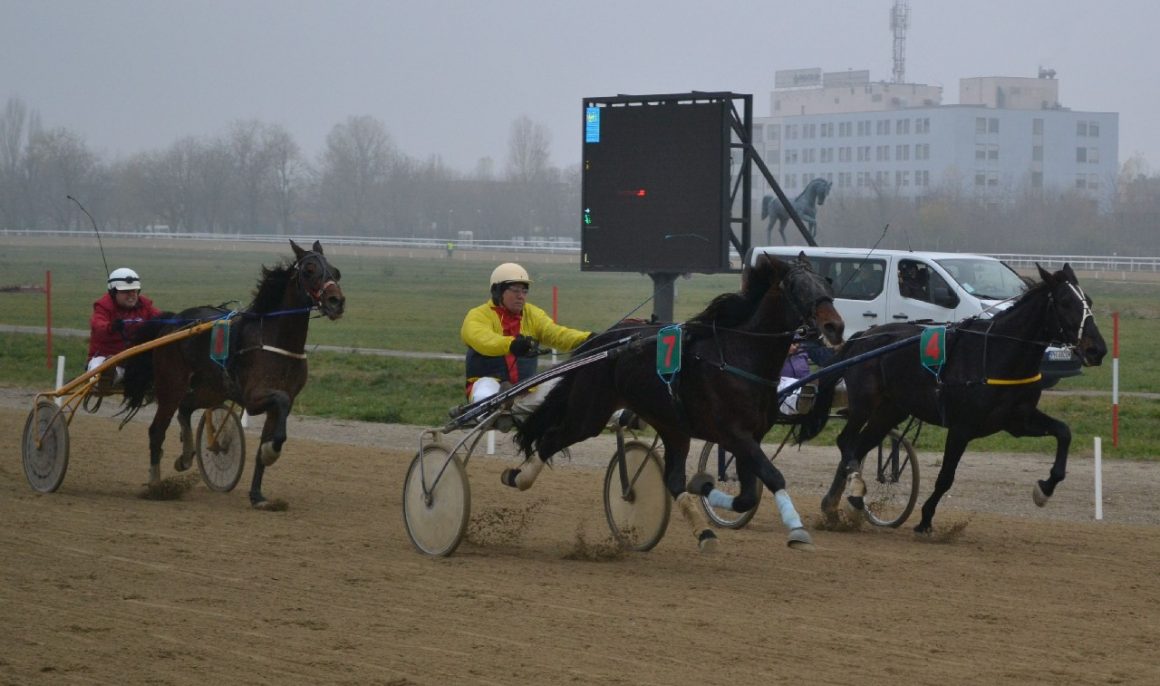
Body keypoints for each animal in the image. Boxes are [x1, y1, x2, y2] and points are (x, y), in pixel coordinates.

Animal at [126, 239, 345, 508]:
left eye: (335, 272)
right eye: (309, 270)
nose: (336, 302)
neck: (278, 340)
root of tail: (173, 321)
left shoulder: (283, 400)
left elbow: (273, 432)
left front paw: (258, 495)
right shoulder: (254, 398)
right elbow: (278, 407)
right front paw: (270, 453)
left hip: (211, 389)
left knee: (186, 407)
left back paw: (186, 457)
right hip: (171, 384)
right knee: (157, 430)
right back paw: (156, 485)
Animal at [515, 255, 844, 550]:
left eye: (826, 282)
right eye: (797, 287)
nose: (836, 327)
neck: (739, 357)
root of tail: (603, 340)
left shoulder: (751, 436)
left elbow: (747, 495)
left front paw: (705, 486)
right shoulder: (733, 433)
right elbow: (773, 476)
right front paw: (797, 530)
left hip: (672, 426)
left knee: (673, 480)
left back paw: (705, 534)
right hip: (590, 412)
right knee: (550, 439)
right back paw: (519, 478)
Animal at [798, 265, 1104, 533]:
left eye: (1088, 301)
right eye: (1065, 302)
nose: (1098, 349)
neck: (996, 354)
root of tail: (864, 336)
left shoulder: (1018, 420)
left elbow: (1063, 432)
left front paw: (1044, 489)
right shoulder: (961, 427)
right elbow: (946, 477)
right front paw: (924, 520)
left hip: (890, 411)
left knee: (859, 447)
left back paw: (840, 504)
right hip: (865, 403)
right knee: (846, 443)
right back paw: (851, 494)